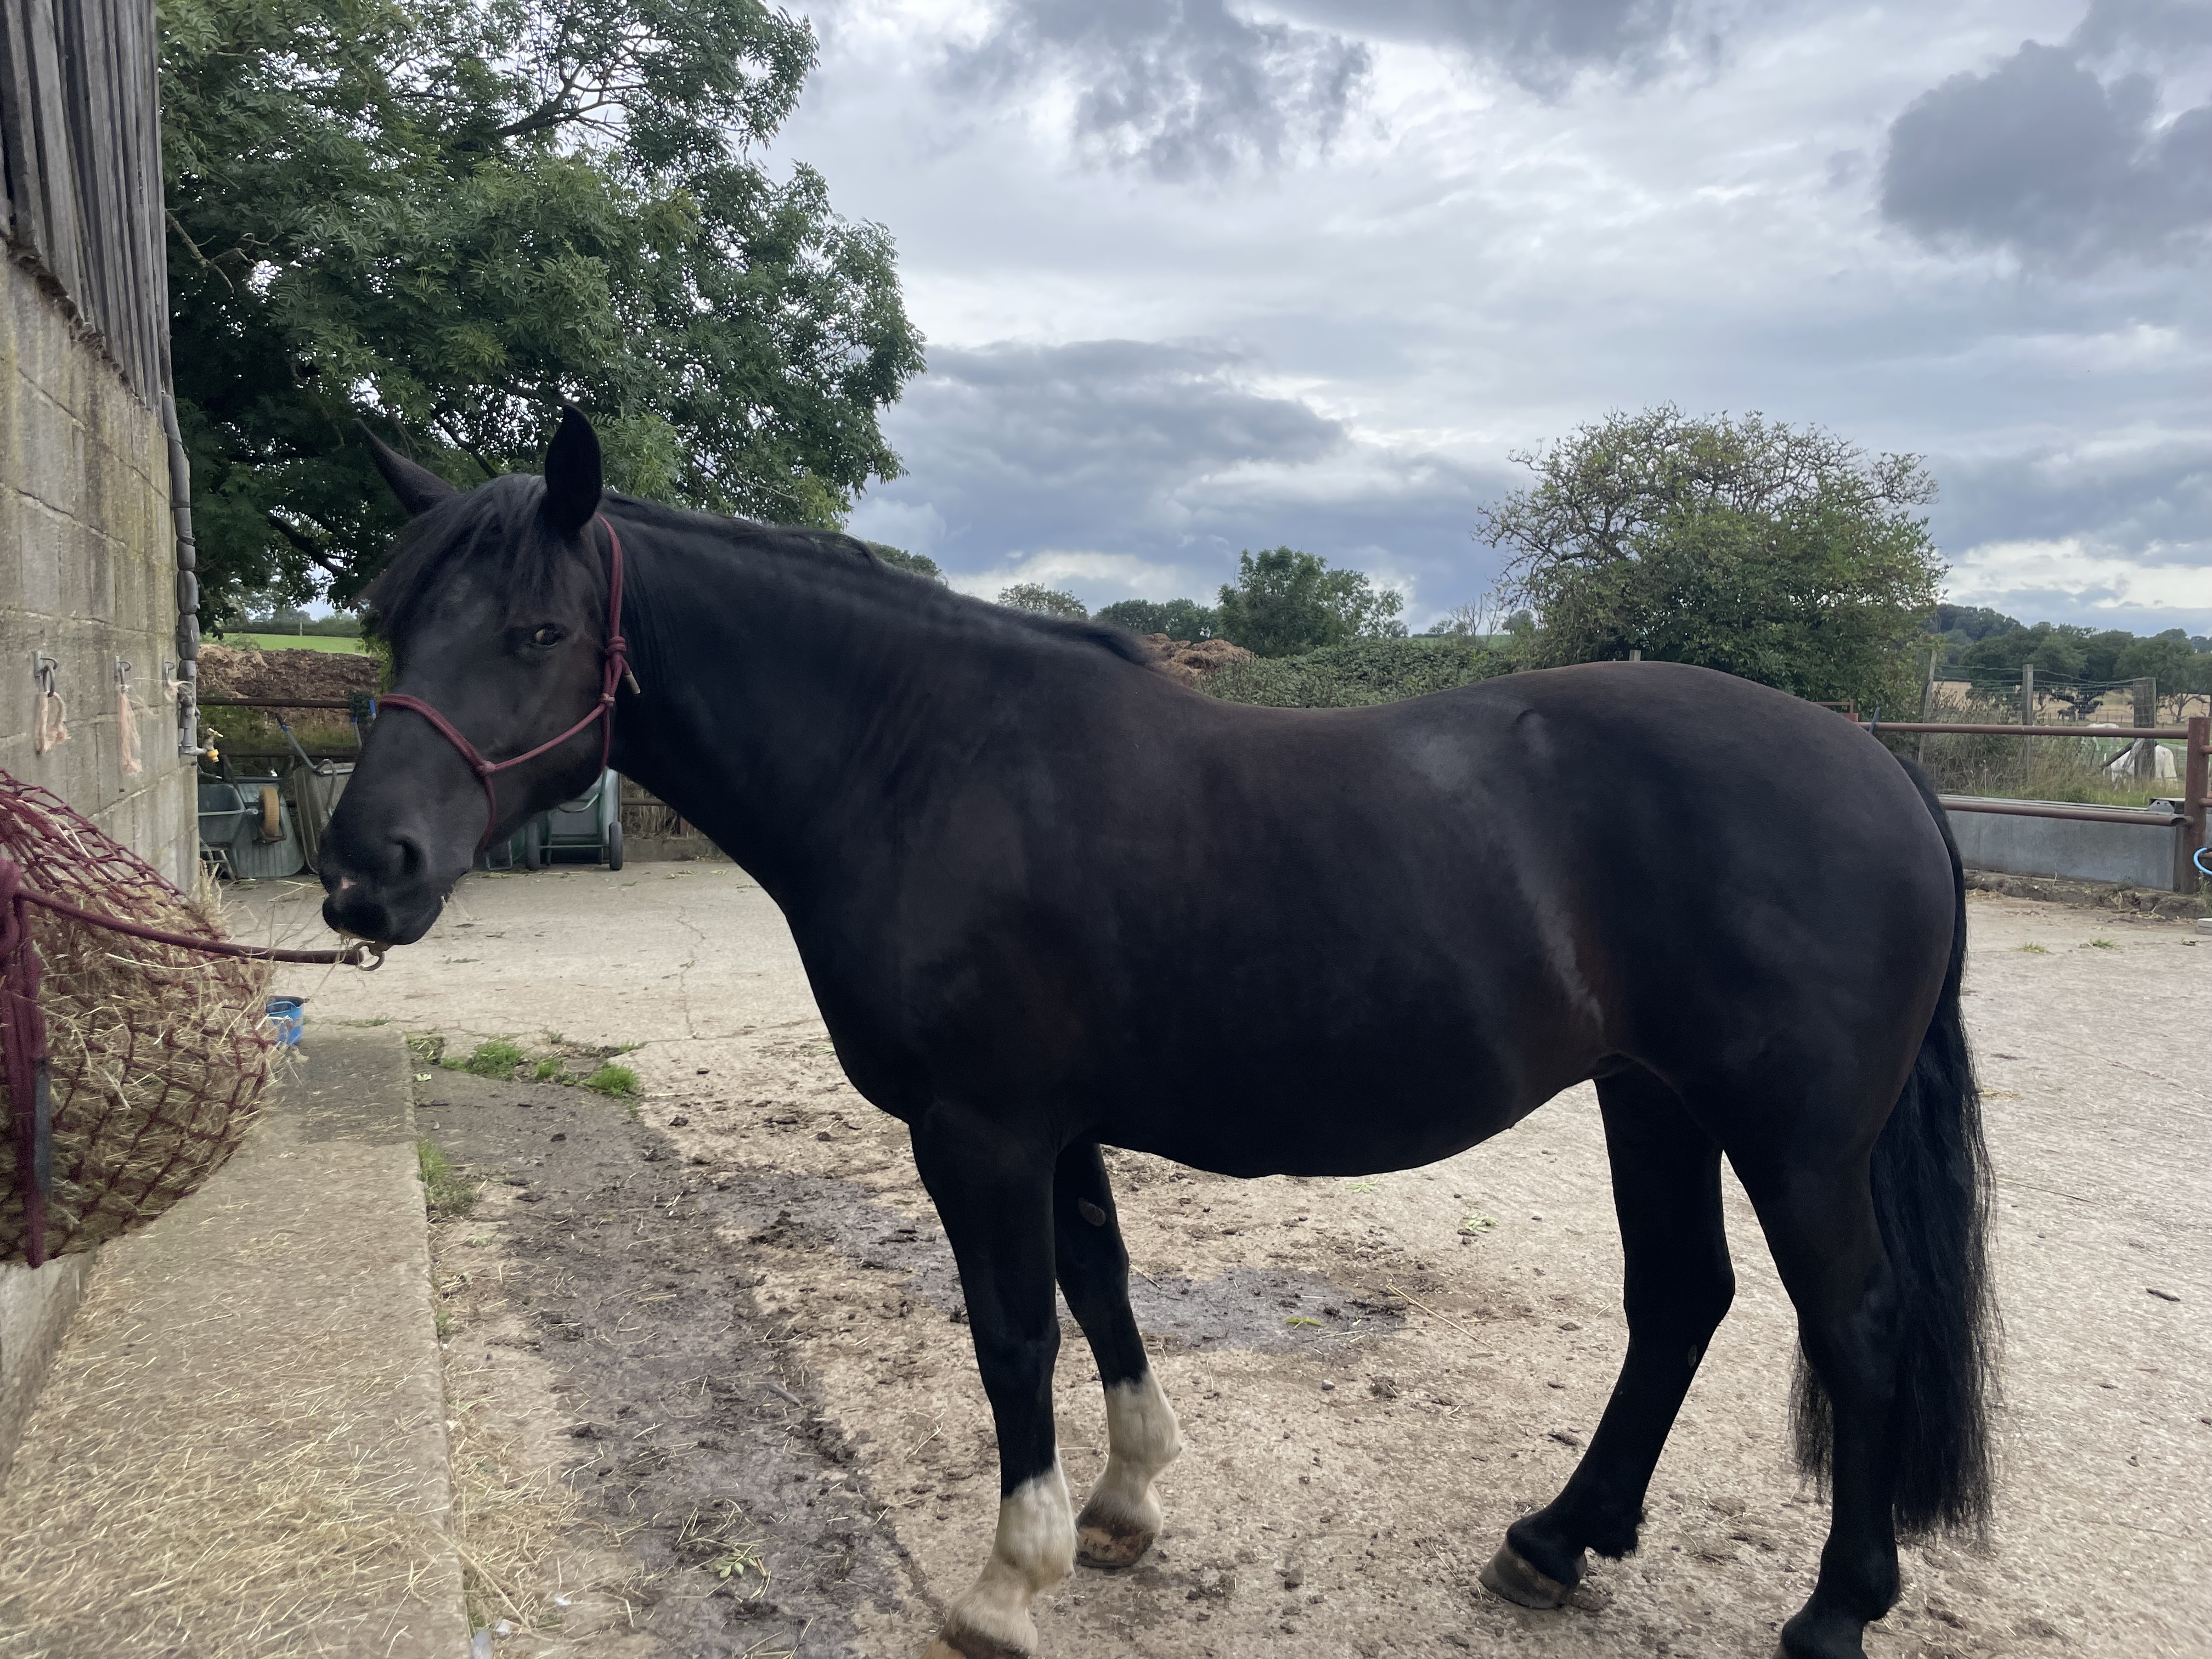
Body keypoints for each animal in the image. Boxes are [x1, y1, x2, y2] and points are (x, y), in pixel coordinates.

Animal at [320, 410, 1995, 1659]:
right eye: (390, 618)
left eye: (538, 628)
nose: (363, 870)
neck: (923, 761)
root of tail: (1878, 765)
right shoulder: (1052, 1128)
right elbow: (1103, 1289)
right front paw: (1123, 1511)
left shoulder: (980, 1133)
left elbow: (1012, 1333)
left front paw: (1009, 1584)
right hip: (1652, 1101)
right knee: (1680, 1303)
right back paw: (1556, 1542)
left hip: (1791, 1138)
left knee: (1855, 1325)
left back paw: (1834, 1613)